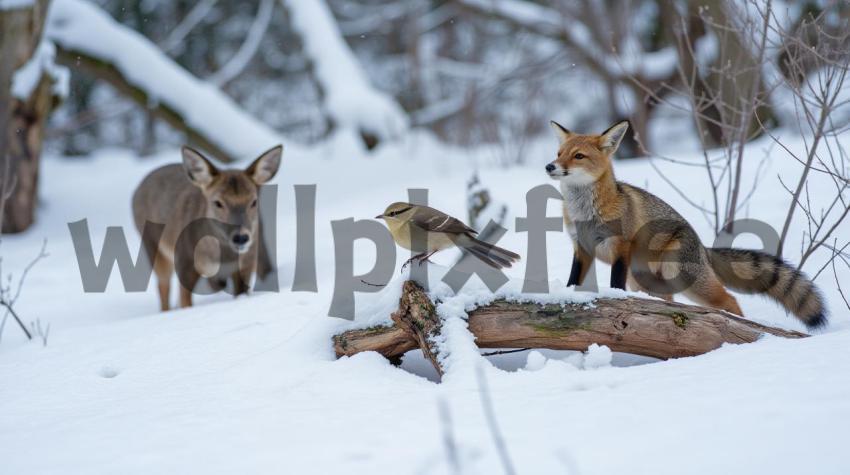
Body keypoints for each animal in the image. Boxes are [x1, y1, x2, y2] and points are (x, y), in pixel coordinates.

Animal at [130, 146, 282, 312]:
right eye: (218, 202)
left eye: (254, 201)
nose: (241, 237)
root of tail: (137, 190)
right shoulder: (184, 261)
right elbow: (185, 302)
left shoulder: (247, 263)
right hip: (152, 244)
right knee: (163, 286)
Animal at [548, 121, 824, 330]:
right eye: (559, 153)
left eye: (578, 156)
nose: (549, 166)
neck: (585, 213)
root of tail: (703, 247)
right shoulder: (581, 247)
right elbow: (573, 280)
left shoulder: (620, 247)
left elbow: (616, 284)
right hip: (645, 281)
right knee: (667, 302)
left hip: (679, 274)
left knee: (730, 300)